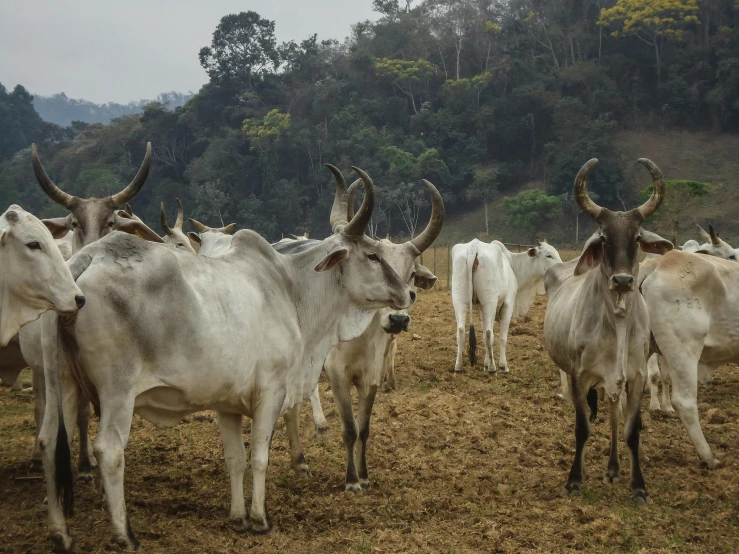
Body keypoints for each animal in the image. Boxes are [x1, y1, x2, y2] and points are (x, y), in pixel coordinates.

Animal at [450, 237, 560, 370]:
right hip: (490, 302)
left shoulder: (482, 308)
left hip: (459, 300)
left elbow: (485, 335)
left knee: (461, 331)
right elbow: (502, 338)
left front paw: (486, 363)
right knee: (489, 333)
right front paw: (502, 365)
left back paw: (458, 366)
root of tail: (473, 247)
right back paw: (493, 368)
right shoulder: (508, 304)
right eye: (549, 255)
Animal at [540, 157, 672, 502]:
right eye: (603, 238)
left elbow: (631, 429)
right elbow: (582, 427)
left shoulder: (636, 376)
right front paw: (574, 479)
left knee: (614, 412)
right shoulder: (579, 375)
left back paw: (613, 468)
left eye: (637, 238)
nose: (623, 280)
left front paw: (638, 486)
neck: (617, 321)